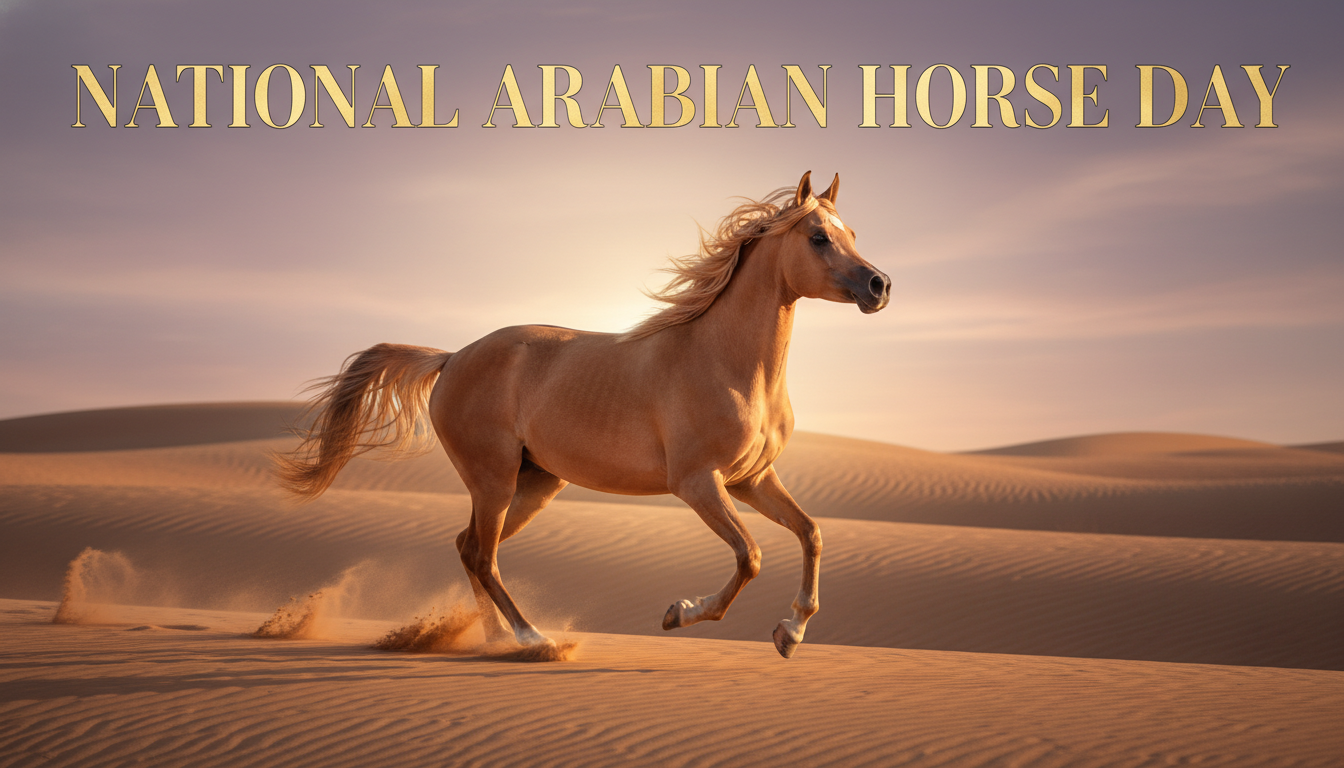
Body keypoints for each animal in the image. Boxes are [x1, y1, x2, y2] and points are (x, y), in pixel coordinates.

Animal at [277, 171, 891, 658]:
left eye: (852, 235)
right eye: (818, 237)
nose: (879, 285)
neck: (727, 362)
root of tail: (451, 358)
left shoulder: (751, 480)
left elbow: (811, 533)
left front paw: (791, 632)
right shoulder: (698, 483)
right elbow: (751, 556)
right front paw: (680, 613)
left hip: (535, 483)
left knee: (470, 548)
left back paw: (493, 639)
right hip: (493, 479)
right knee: (482, 555)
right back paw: (533, 640)